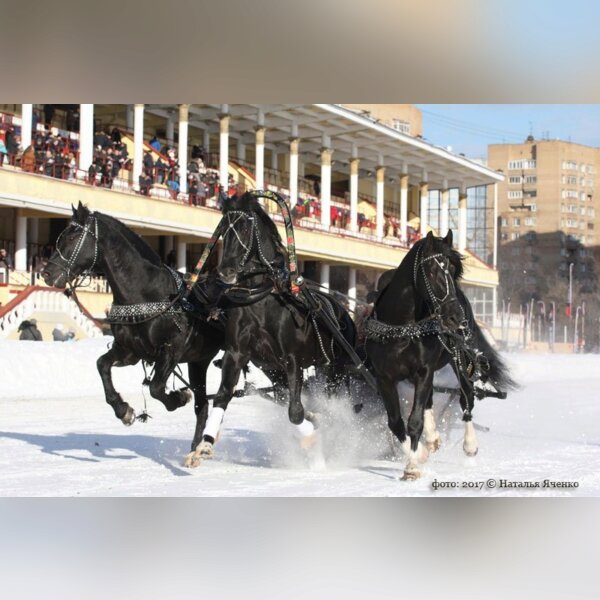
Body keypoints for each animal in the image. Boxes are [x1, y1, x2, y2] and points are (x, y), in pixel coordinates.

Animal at [41, 202, 223, 464]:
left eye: (73, 236)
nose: (46, 273)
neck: (147, 293)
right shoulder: (130, 351)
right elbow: (102, 365)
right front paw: (123, 410)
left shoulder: (171, 351)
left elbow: (156, 388)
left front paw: (177, 398)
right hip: (199, 361)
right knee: (203, 406)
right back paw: (194, 450)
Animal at [186, 192, 356, 464]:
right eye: (223, 230)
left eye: (245, 228)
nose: (225, 271)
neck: (262, 300)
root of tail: (344, 313)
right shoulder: (237, 353)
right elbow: (223, 396)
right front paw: (205, 445)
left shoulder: (293, 360)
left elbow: (295, 412)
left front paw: (312, 439)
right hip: (276, 370)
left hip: (335, 369)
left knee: (336, 402)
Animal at [366, 230, 516, 478]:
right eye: (432, 270)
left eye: (454, 271)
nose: (456, 316)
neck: (401, 328)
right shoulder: (384, 377)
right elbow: (396, 422)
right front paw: (419, 452)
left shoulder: (423, 371)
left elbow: (414, 421)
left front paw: (412, 467)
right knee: (430, 400)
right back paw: (432, 439)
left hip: (461, 361)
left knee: (466, 398)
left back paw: (470, 444)